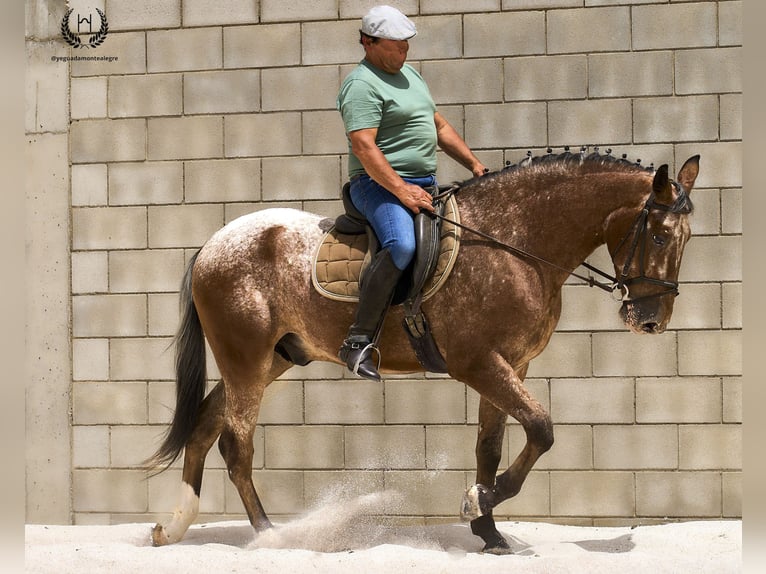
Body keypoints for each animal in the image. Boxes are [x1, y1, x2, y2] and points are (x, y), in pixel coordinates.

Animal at [148, 151, 704, 556]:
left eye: (685, 238)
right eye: (659, 235)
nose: (650, 320)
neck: (511, 242)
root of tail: (213, 244)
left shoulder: (512, 364)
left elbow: (491, 446)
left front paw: (489, 531)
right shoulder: (479, 364)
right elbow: (542, 429)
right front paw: (477, 503)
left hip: (270, 360)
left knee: (204, 426)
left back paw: (173, 529)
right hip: (246, 359)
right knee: (235, 446)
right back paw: (271, 536)